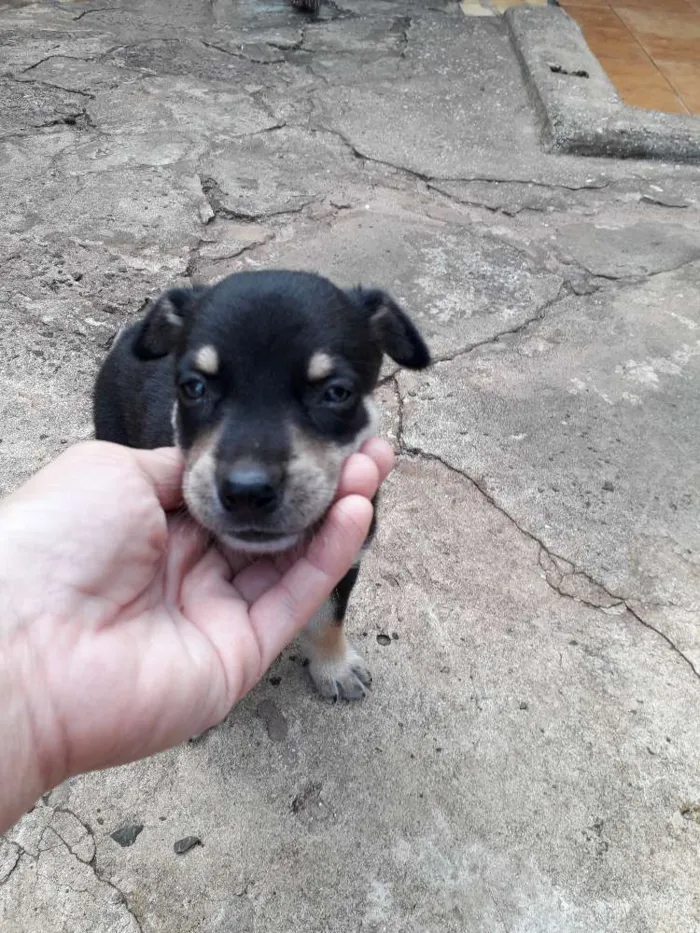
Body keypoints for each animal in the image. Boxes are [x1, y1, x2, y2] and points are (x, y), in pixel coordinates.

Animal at [95, 270, 430, 700]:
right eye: (193, 388)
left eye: (337, 393)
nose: (247, 492)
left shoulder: (350, 554)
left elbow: (329, 617)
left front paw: (335, 668)